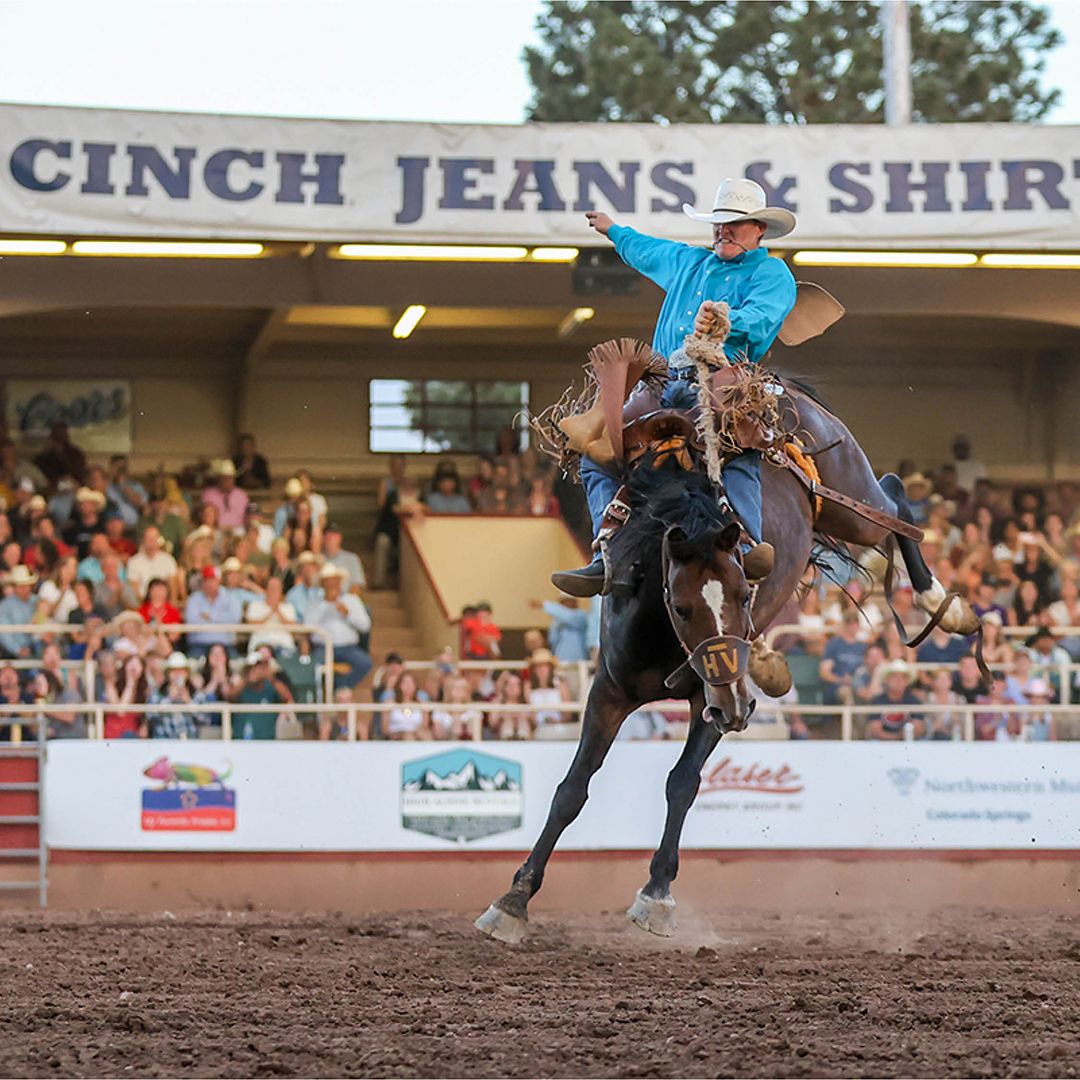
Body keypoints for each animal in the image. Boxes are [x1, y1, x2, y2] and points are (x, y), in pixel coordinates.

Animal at [473, 300, 980, 941]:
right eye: (682, 605)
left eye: (744, 594)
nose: (737, 709)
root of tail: (784, 388)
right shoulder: (609, 689)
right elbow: (572, 789)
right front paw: (513, 900)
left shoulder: (713, 696)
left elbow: (682, 782)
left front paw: (657, 894)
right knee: (892, 501)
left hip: (850, 500)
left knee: (896, 503)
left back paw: (946, 603)